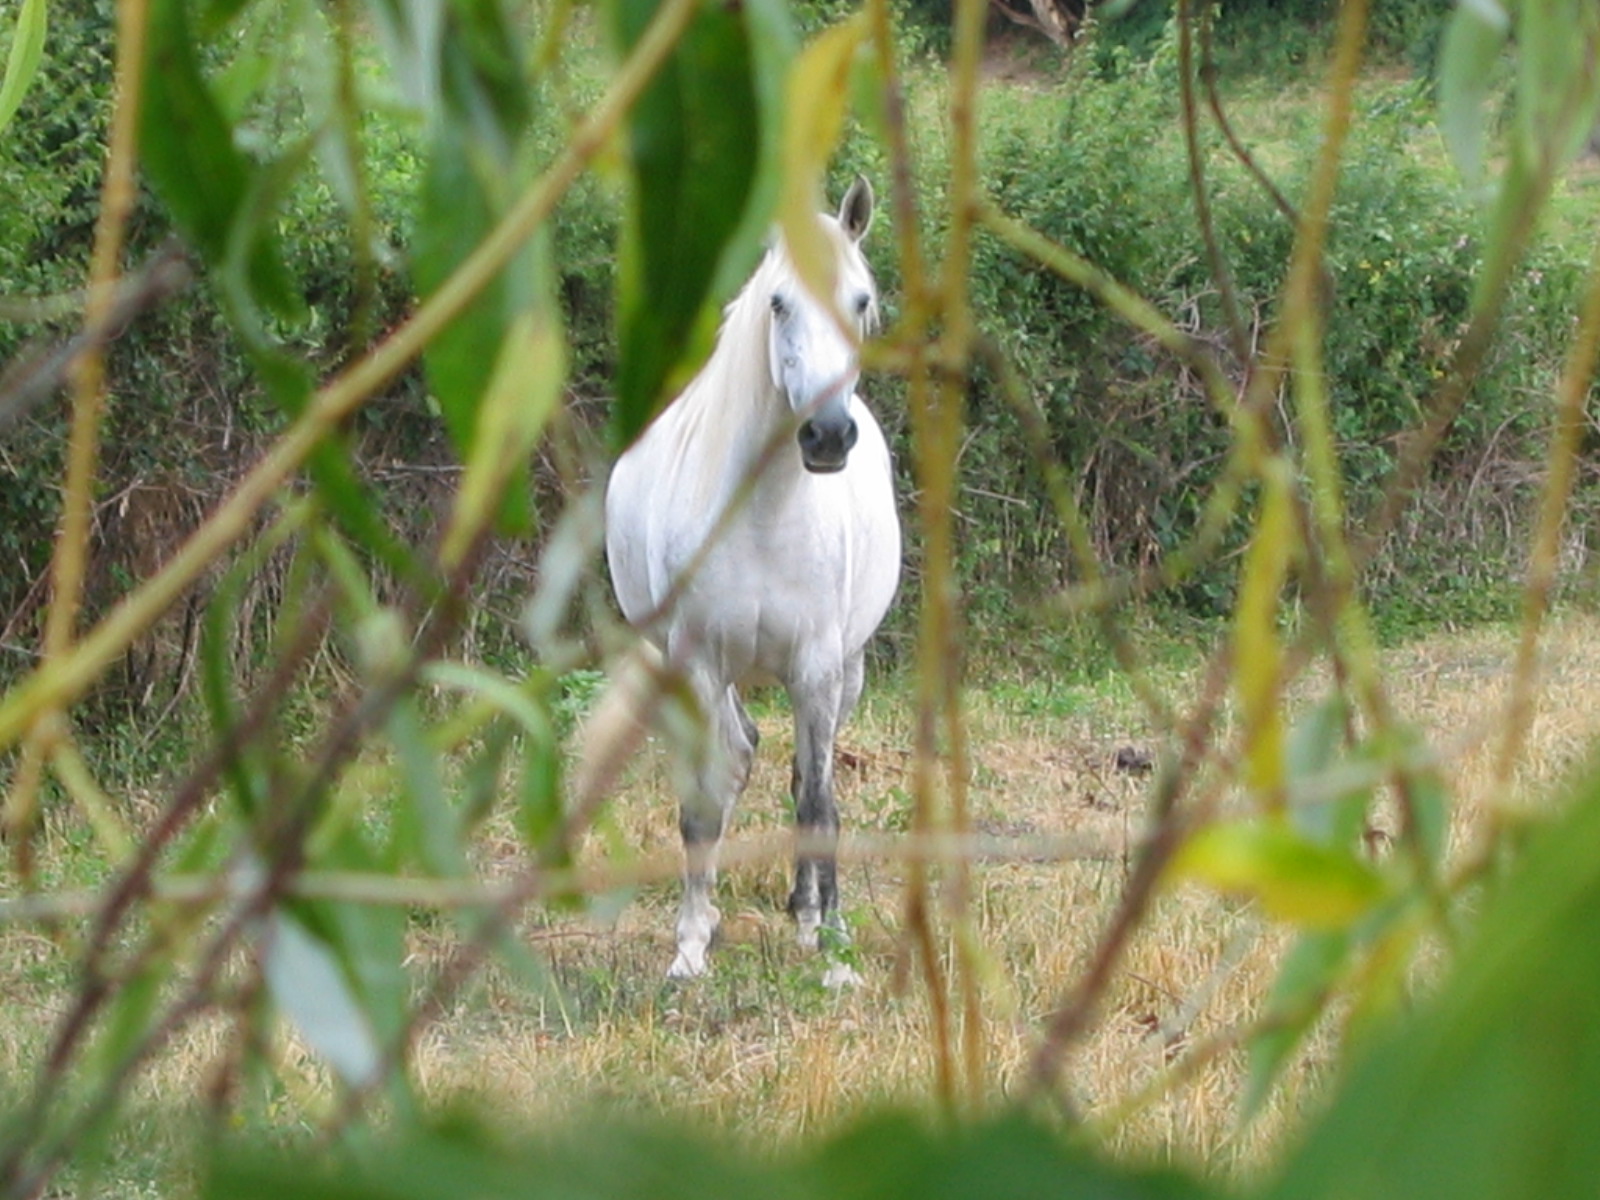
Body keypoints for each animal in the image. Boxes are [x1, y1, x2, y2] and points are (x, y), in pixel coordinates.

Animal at [601, 180, 902, 985]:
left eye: (861, 299)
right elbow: (704, 802)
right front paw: (689, 947)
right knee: (734, 759)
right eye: (779, 303)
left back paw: (807, 915)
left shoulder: (819, 669)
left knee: (799, 778)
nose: (826, 436)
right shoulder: (700, 661)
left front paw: (835, 952)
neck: (768, 515)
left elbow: (820, 803)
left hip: (848, 672)